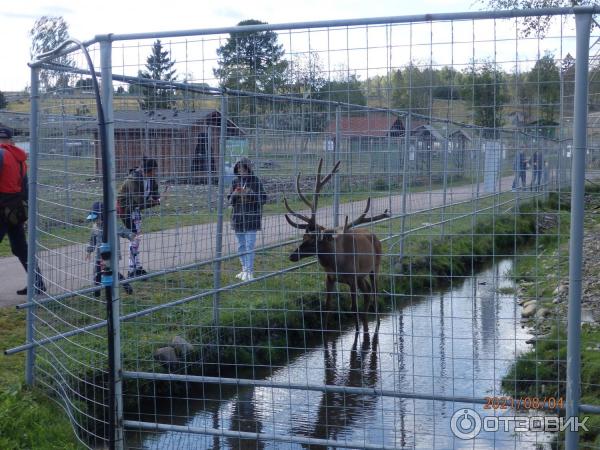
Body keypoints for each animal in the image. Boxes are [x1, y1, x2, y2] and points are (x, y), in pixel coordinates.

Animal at [284, 158, 390, 330]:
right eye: (303, 237)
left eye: (313, 240)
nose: (292, 256)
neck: (336, 263)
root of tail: (375, 237)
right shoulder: (330, 278)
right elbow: (327, 307)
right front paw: (325, 329)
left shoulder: (352, 278)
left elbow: (353, 307)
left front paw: (357, 331)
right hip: (361, 276)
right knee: (367, 293)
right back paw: (366, 321)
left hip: (375, 266)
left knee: (374, 292)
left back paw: (377, 321)